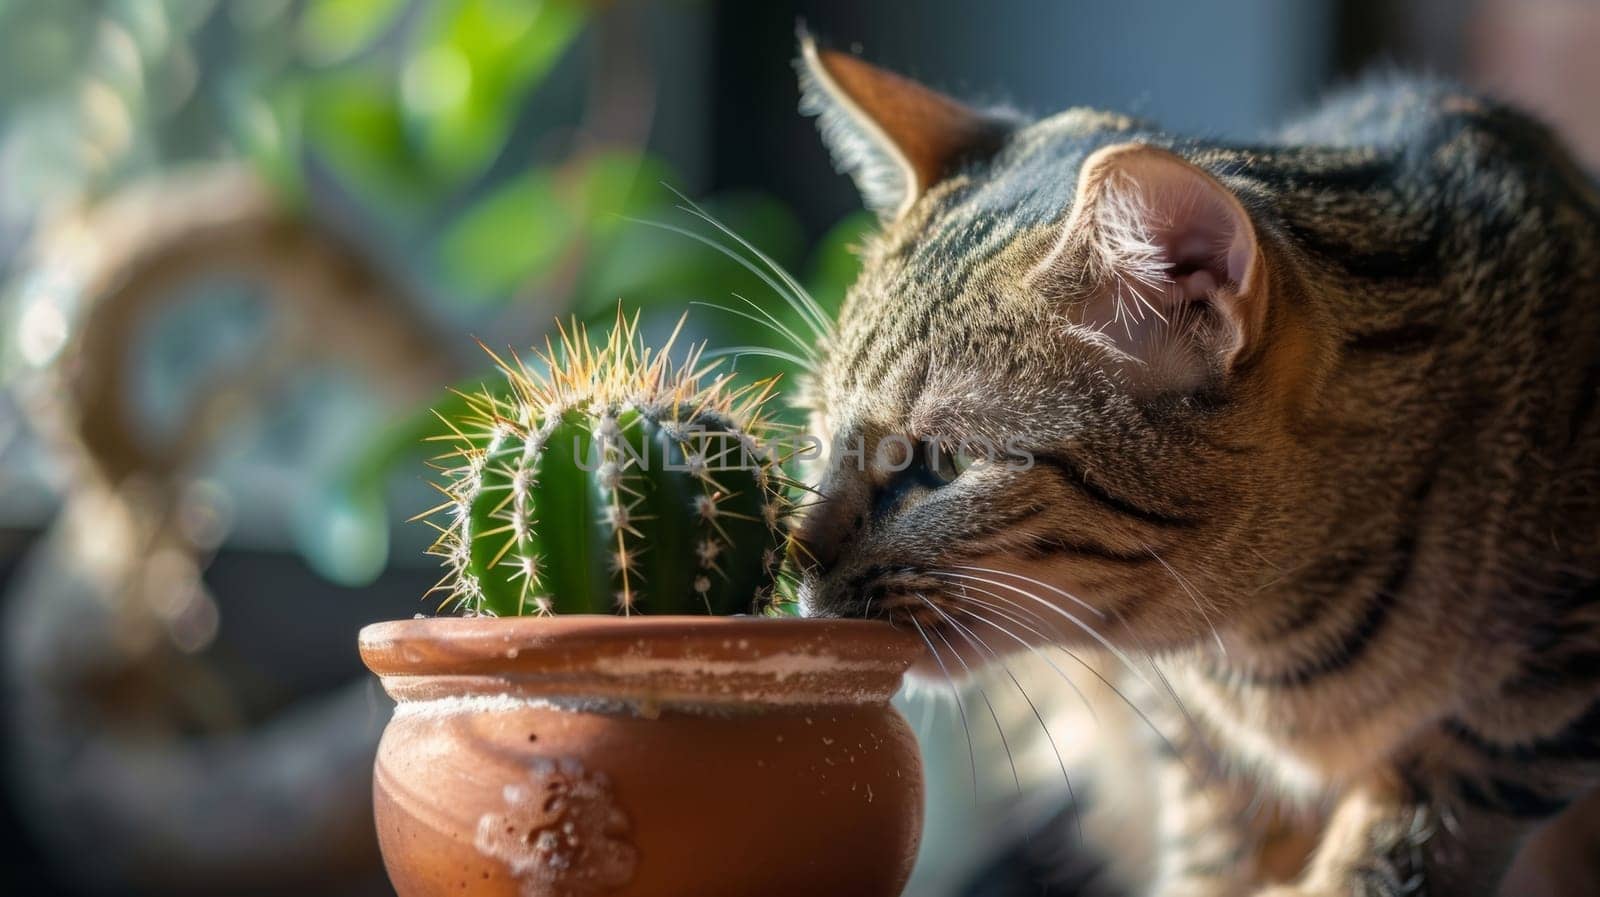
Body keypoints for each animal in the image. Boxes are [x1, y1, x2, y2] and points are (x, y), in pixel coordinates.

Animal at [787, 31, 1600, 889]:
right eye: (819, 429)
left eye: (943, 464)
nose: (795, 558)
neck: (1267, 649)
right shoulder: (1193, 744)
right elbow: (1211, 854)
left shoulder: (1525, 718)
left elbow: (1397, 842)